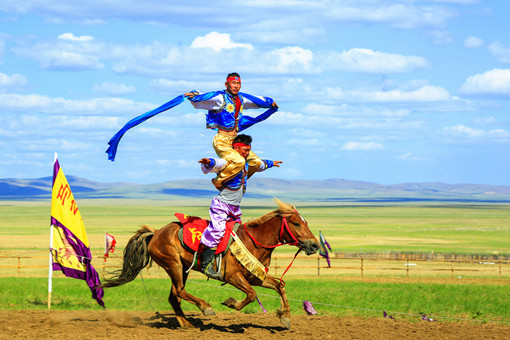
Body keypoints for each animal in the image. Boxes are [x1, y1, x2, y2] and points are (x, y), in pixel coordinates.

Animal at [100, 199, 318, 330]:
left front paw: (285, 317)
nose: (314, 245)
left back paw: (187, 324)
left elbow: (279, 286)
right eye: (296, 223)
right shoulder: (233, 277)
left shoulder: (255, 276)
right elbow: (251, 295)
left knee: (174, 296)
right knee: (179, 291)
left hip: (182, 268)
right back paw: (206, 308)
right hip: (174, 265)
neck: (253, 242)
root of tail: (155, 232)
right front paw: (230, 302)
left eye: (306, 222)